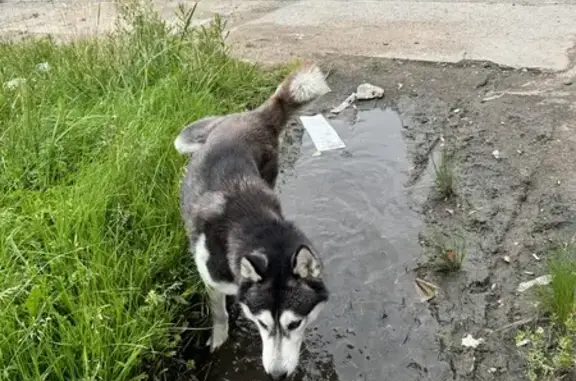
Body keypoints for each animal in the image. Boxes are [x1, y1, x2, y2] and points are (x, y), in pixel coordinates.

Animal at [174, 63, 328, 378]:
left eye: (294, 323)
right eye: (262, 323)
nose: (277, 375)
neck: (256, 224)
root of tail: (253, 116)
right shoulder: (210, 277)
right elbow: (218, 312)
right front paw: (219, 337)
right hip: (185, 140)